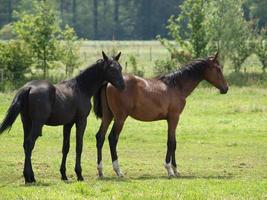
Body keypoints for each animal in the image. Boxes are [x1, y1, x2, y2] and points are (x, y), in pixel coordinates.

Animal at [0, 51, 126, 183]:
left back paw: (28, 177)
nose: (123, 86)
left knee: (25, 144)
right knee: (29, 144)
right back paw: (30, 177)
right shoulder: (81, 121)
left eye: (120, 68)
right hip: (37, 124)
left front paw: (64, 175)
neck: (81, 88)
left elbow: (66, 147)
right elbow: (79, 146)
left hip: (26, 122)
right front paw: (79, 174)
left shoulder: (68, 124)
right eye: (111, 68)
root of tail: (28, 88)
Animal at [93, 52, 228, 178]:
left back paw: (100, 171)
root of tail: (108, 82)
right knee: (112, 138)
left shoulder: (171, 119)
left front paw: (175, 169)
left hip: (108, 116)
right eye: (218, 69)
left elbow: (174, 142)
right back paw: (118, 171)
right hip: (120, 118)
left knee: (100, 137)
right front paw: (169, 170)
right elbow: (171, 142)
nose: (226, 88)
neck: (176, 85)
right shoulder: (174, 118)